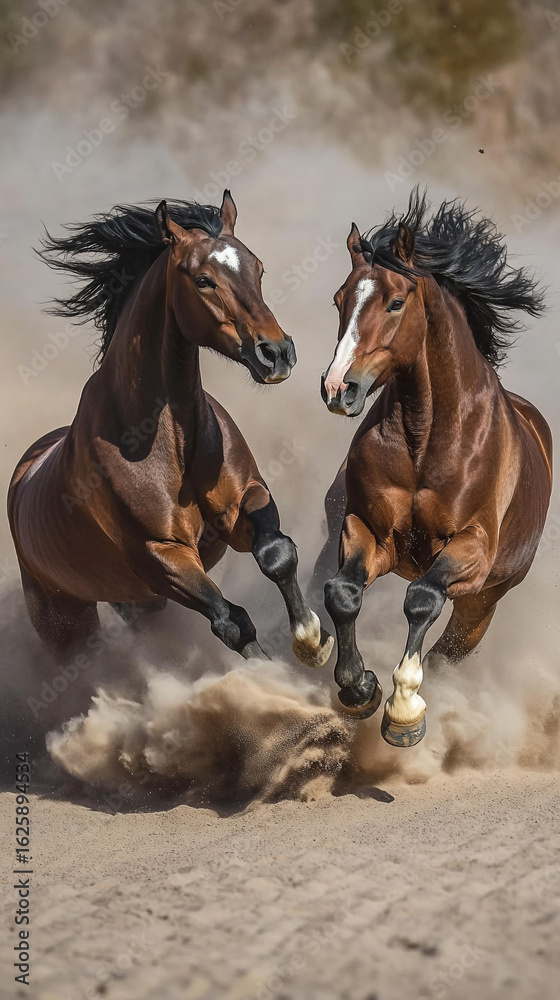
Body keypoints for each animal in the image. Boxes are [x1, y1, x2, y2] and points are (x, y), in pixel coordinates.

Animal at [8, 191, 333, 709]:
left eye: (258, 269)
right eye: (203, 280)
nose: (277, 353)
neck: (167, 442)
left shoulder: (246, 502)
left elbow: (277, 553)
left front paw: (311, 642)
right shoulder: (163, 556)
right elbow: (232, 622)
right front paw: (286, 687)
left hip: (139, 603)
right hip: (67, 621)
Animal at [314, 189, 552, 747]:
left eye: (396, 302)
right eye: (340, 300)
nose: (338, 388)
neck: (425, 440)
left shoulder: (471, 551)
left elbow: (422, 599)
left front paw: (404, 712)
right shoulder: (367, 530)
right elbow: (344, 593)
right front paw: (359, 688)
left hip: (481, 605)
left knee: (447, 653)